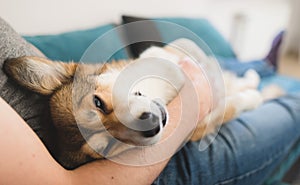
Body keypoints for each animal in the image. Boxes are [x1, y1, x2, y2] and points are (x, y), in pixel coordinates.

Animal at [2, 38, 284, 168]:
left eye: (98, 102)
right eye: (108, 146)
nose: (151, 125)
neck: (164, 93)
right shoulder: (205, 123)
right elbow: (238, 103)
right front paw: (253, 97)